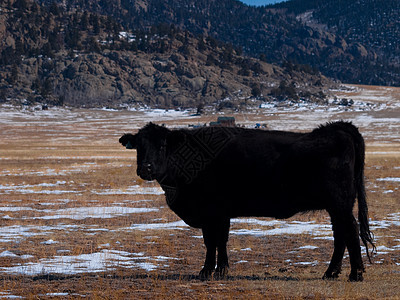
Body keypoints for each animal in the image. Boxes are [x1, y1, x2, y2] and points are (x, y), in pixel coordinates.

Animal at [119, 121, 376, 282]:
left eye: (162, 145)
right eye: (139, 147)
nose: (146, 168)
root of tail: (338, 129)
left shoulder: (214, 212)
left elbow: (215, 242)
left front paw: (212, 271)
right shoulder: (216, 215)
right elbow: (215, 242)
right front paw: (215, 270)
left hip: (340, 204)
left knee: (350, 231)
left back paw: (356, 274)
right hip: (336, 207)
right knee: (340, 234)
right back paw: (331, 273)